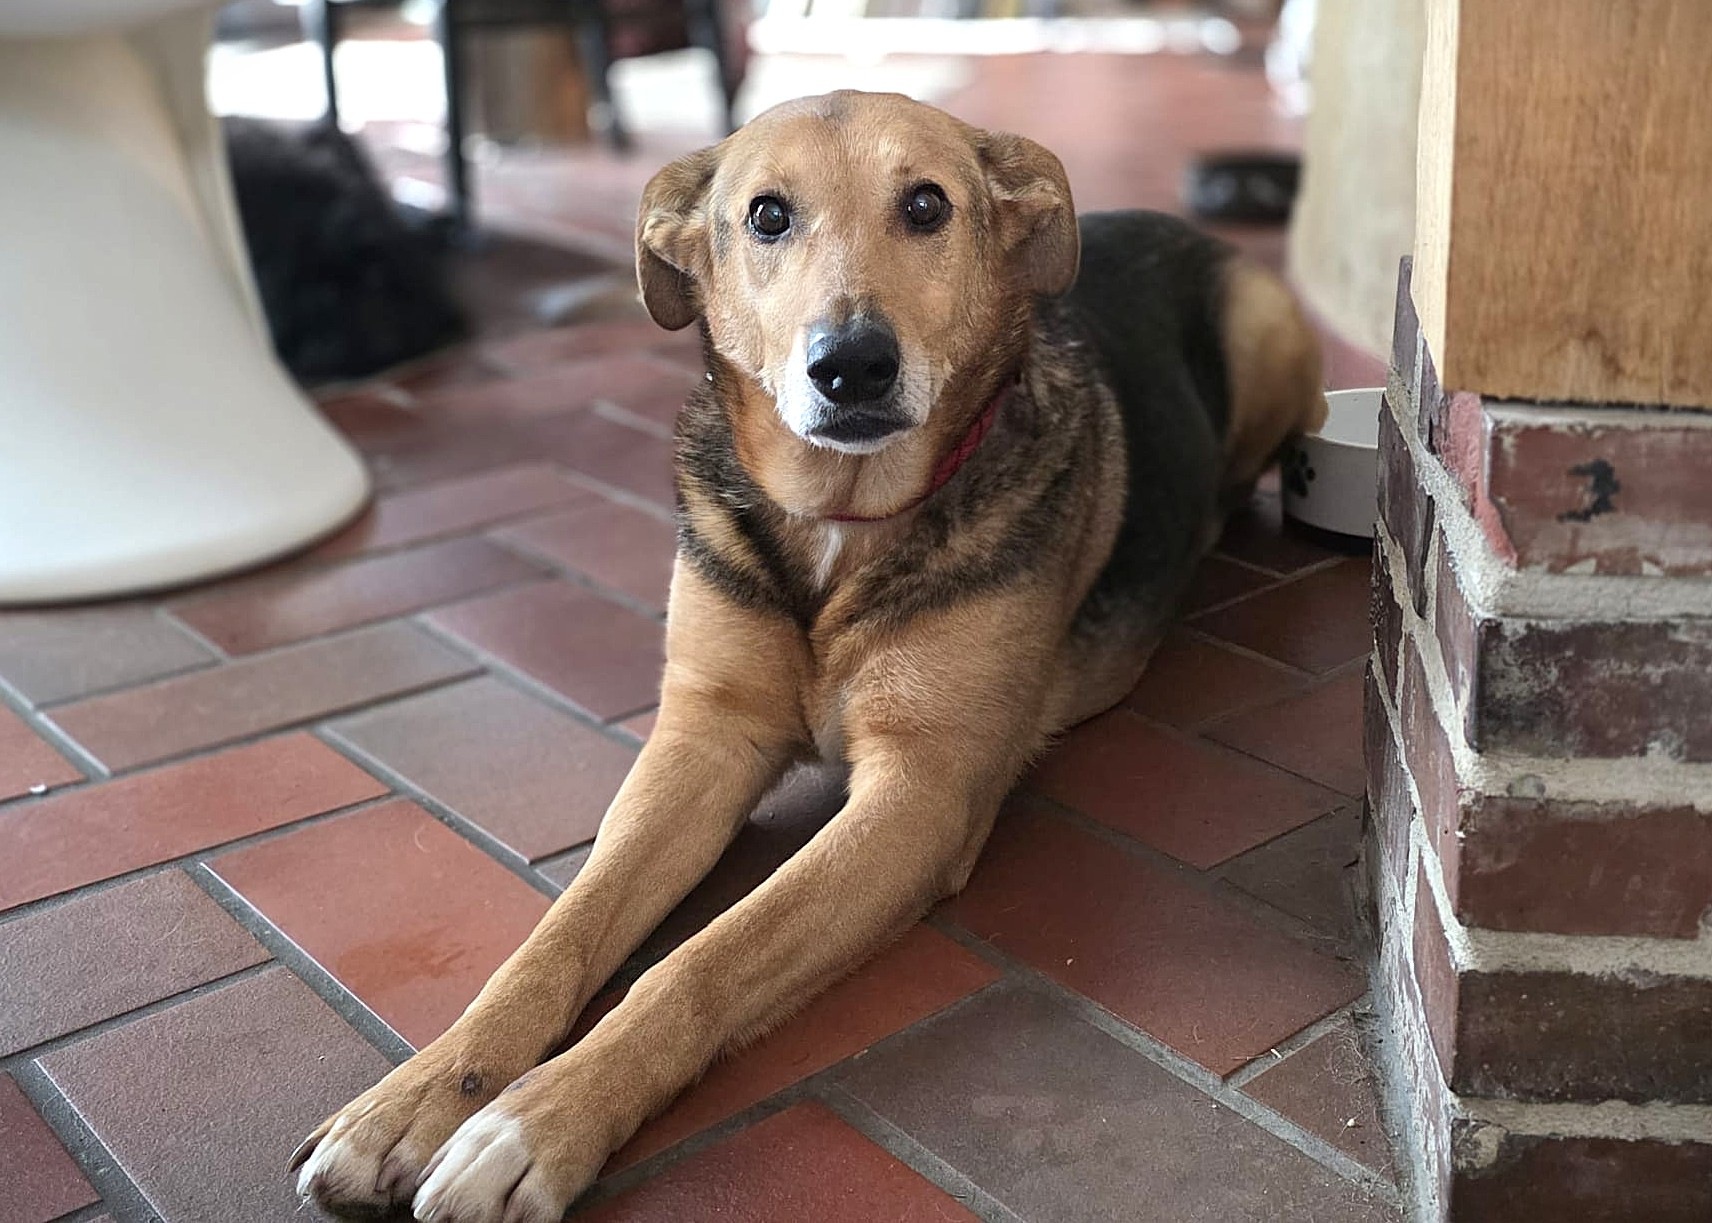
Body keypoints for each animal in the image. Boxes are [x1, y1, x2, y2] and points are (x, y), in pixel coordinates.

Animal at [292, 89, 1324, 1222]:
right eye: (766, 216)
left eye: (926, 204)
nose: (853, 364)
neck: (840, 517)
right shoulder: (703, 737)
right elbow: (558, 932)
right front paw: (423, 1090)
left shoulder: (921, 793)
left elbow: (697, 961)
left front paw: (539, 1120)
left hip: (1270, 339)